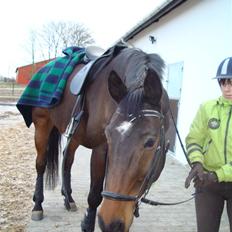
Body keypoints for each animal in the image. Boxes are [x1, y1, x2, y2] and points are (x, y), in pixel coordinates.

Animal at [29, 44, 170, 231]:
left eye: (151, 142)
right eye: (108, 136)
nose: (112, 223)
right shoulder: (101, 149)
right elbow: (95, 194)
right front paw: (88, 223)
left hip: (74, 135)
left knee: (67, 161)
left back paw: (69, 199)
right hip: (42, 125)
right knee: (41, 164)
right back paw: (38, 206)